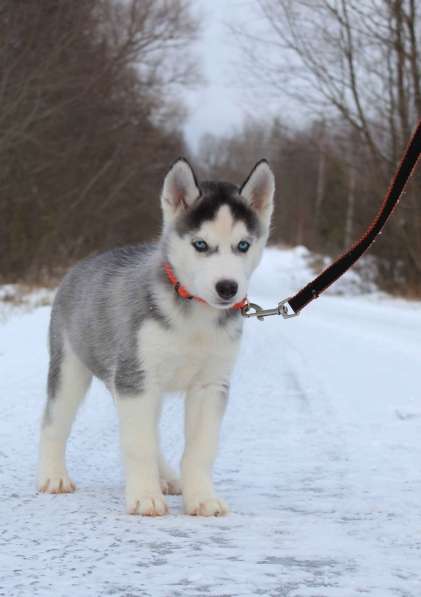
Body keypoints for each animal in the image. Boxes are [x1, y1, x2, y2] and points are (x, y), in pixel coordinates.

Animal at [37, 158, 276, 516]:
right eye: (200, 244)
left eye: (243, 245)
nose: (227, 288)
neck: (195, 316)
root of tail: (83, 264)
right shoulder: (137, 380)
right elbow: (140, 445)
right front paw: (145, 497)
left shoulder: (210, 385)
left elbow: (200, 449)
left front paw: (201, 498)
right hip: (72, 368)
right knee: (54, 421)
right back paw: (54, 476)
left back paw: (167, 478)